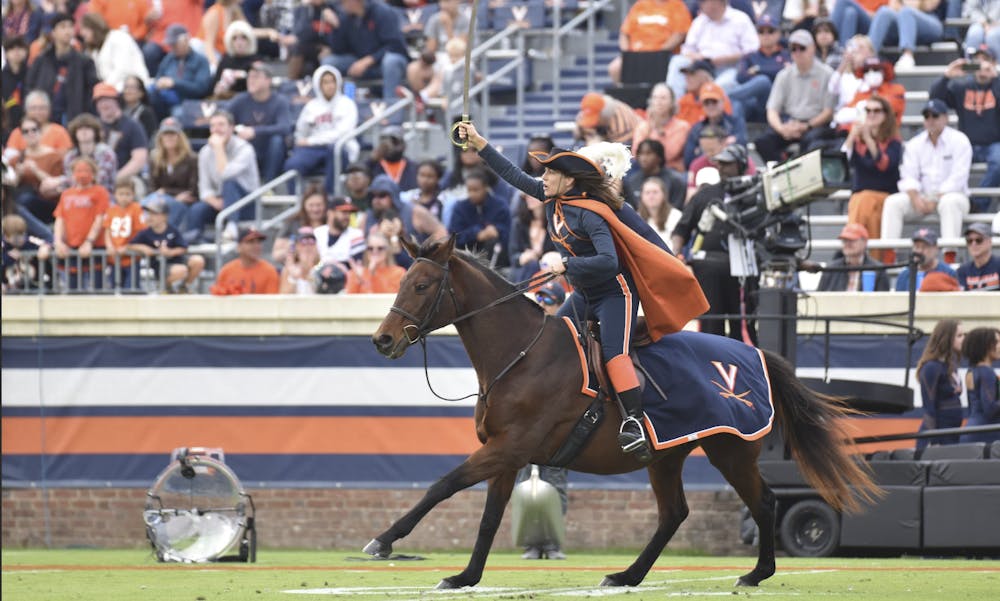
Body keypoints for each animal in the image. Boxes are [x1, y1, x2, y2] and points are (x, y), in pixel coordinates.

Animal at [366, 237, 876, 588]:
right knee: (674, 513)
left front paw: (385, 539)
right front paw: (465, 577)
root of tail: (754, 353)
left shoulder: (508, 448)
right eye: (402, 282)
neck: (522, 354)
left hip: (729, 452)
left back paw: (755, 574)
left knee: (764, 502)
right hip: (668, 456)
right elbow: (489, 517)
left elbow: (442, 485)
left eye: (422, 285)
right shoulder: (506, 456)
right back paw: (628, 575)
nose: (382, 339)